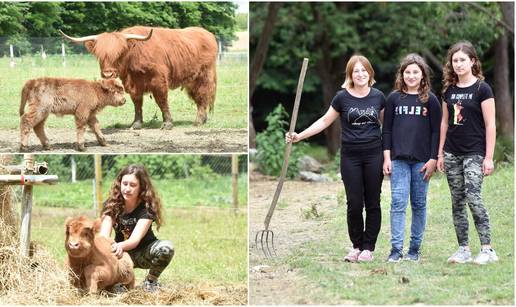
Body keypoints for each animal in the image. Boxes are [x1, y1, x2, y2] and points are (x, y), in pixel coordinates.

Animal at [60, 26, 218, 131]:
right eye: (99, 54)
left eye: (119, 53)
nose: (108, 74)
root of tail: (207, 34)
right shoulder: (133, 84)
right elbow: (137, 103)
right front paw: (136, 124)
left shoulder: (159, 81)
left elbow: (162, 101)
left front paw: (167, 123)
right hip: (192, 80)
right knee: (199, 97)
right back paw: (203, 119)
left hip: (204, 76)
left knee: (203, 96)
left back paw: (198, 121)